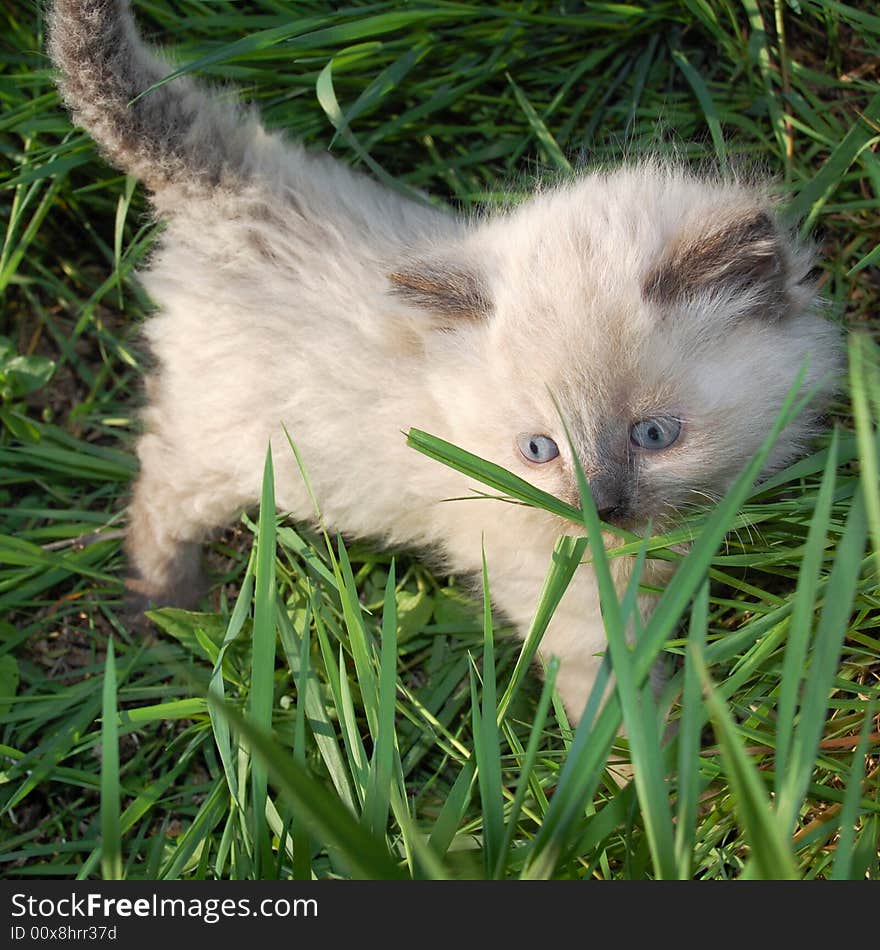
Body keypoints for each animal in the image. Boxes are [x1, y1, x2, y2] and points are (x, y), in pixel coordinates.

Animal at [46, 0, 840, 720]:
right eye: (538, 450)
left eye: (654, 435)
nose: (601, 508)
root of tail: (237, 189)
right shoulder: (572, 600)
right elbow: (611, 703)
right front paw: (647, 778)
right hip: (226, 449)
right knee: (156, 489)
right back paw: (161, 606)